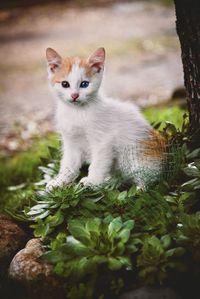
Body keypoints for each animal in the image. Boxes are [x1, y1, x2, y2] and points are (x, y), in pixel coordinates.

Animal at [45, 47, 166, 192]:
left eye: (84, 84)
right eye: (65, 84)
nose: (74, 95)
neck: (77, 112)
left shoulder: (103, 141)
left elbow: (97, 164)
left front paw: (92, 181)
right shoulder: (71, 143)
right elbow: (68, 165)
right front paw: (60, 181)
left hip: (136, 156)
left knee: (147, 178)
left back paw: (140, 189)